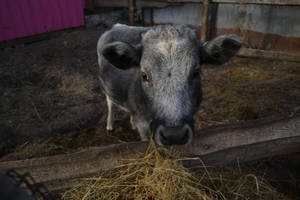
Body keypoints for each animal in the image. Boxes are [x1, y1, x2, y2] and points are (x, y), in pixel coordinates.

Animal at [97, 23, 243, 145]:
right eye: (144, 76)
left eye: (196, 73)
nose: (174, 135)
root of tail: (118, 26)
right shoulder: (142, 121)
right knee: (110, 103)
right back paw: (110, 125)